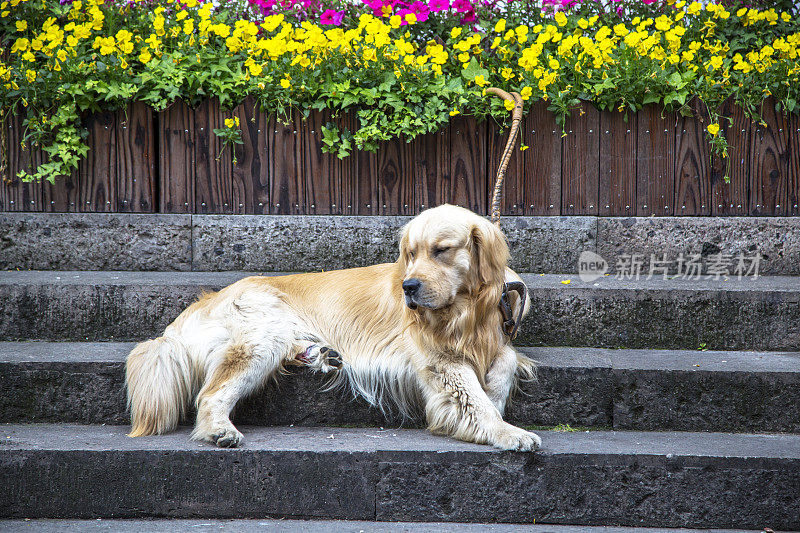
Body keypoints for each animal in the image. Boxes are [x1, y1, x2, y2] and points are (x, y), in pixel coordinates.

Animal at [126, 204, 536, 448]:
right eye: (411, 254)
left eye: (442, 250)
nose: (408, 287)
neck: (467, 312)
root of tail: (207, 299)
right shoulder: (442, 361)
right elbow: (474, 401)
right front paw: (506, 431)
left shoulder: (498, 336)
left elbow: (505, 362)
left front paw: (497, 397)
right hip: (262, 336)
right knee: (212, 393)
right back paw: (219, 430)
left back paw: (321, 353)